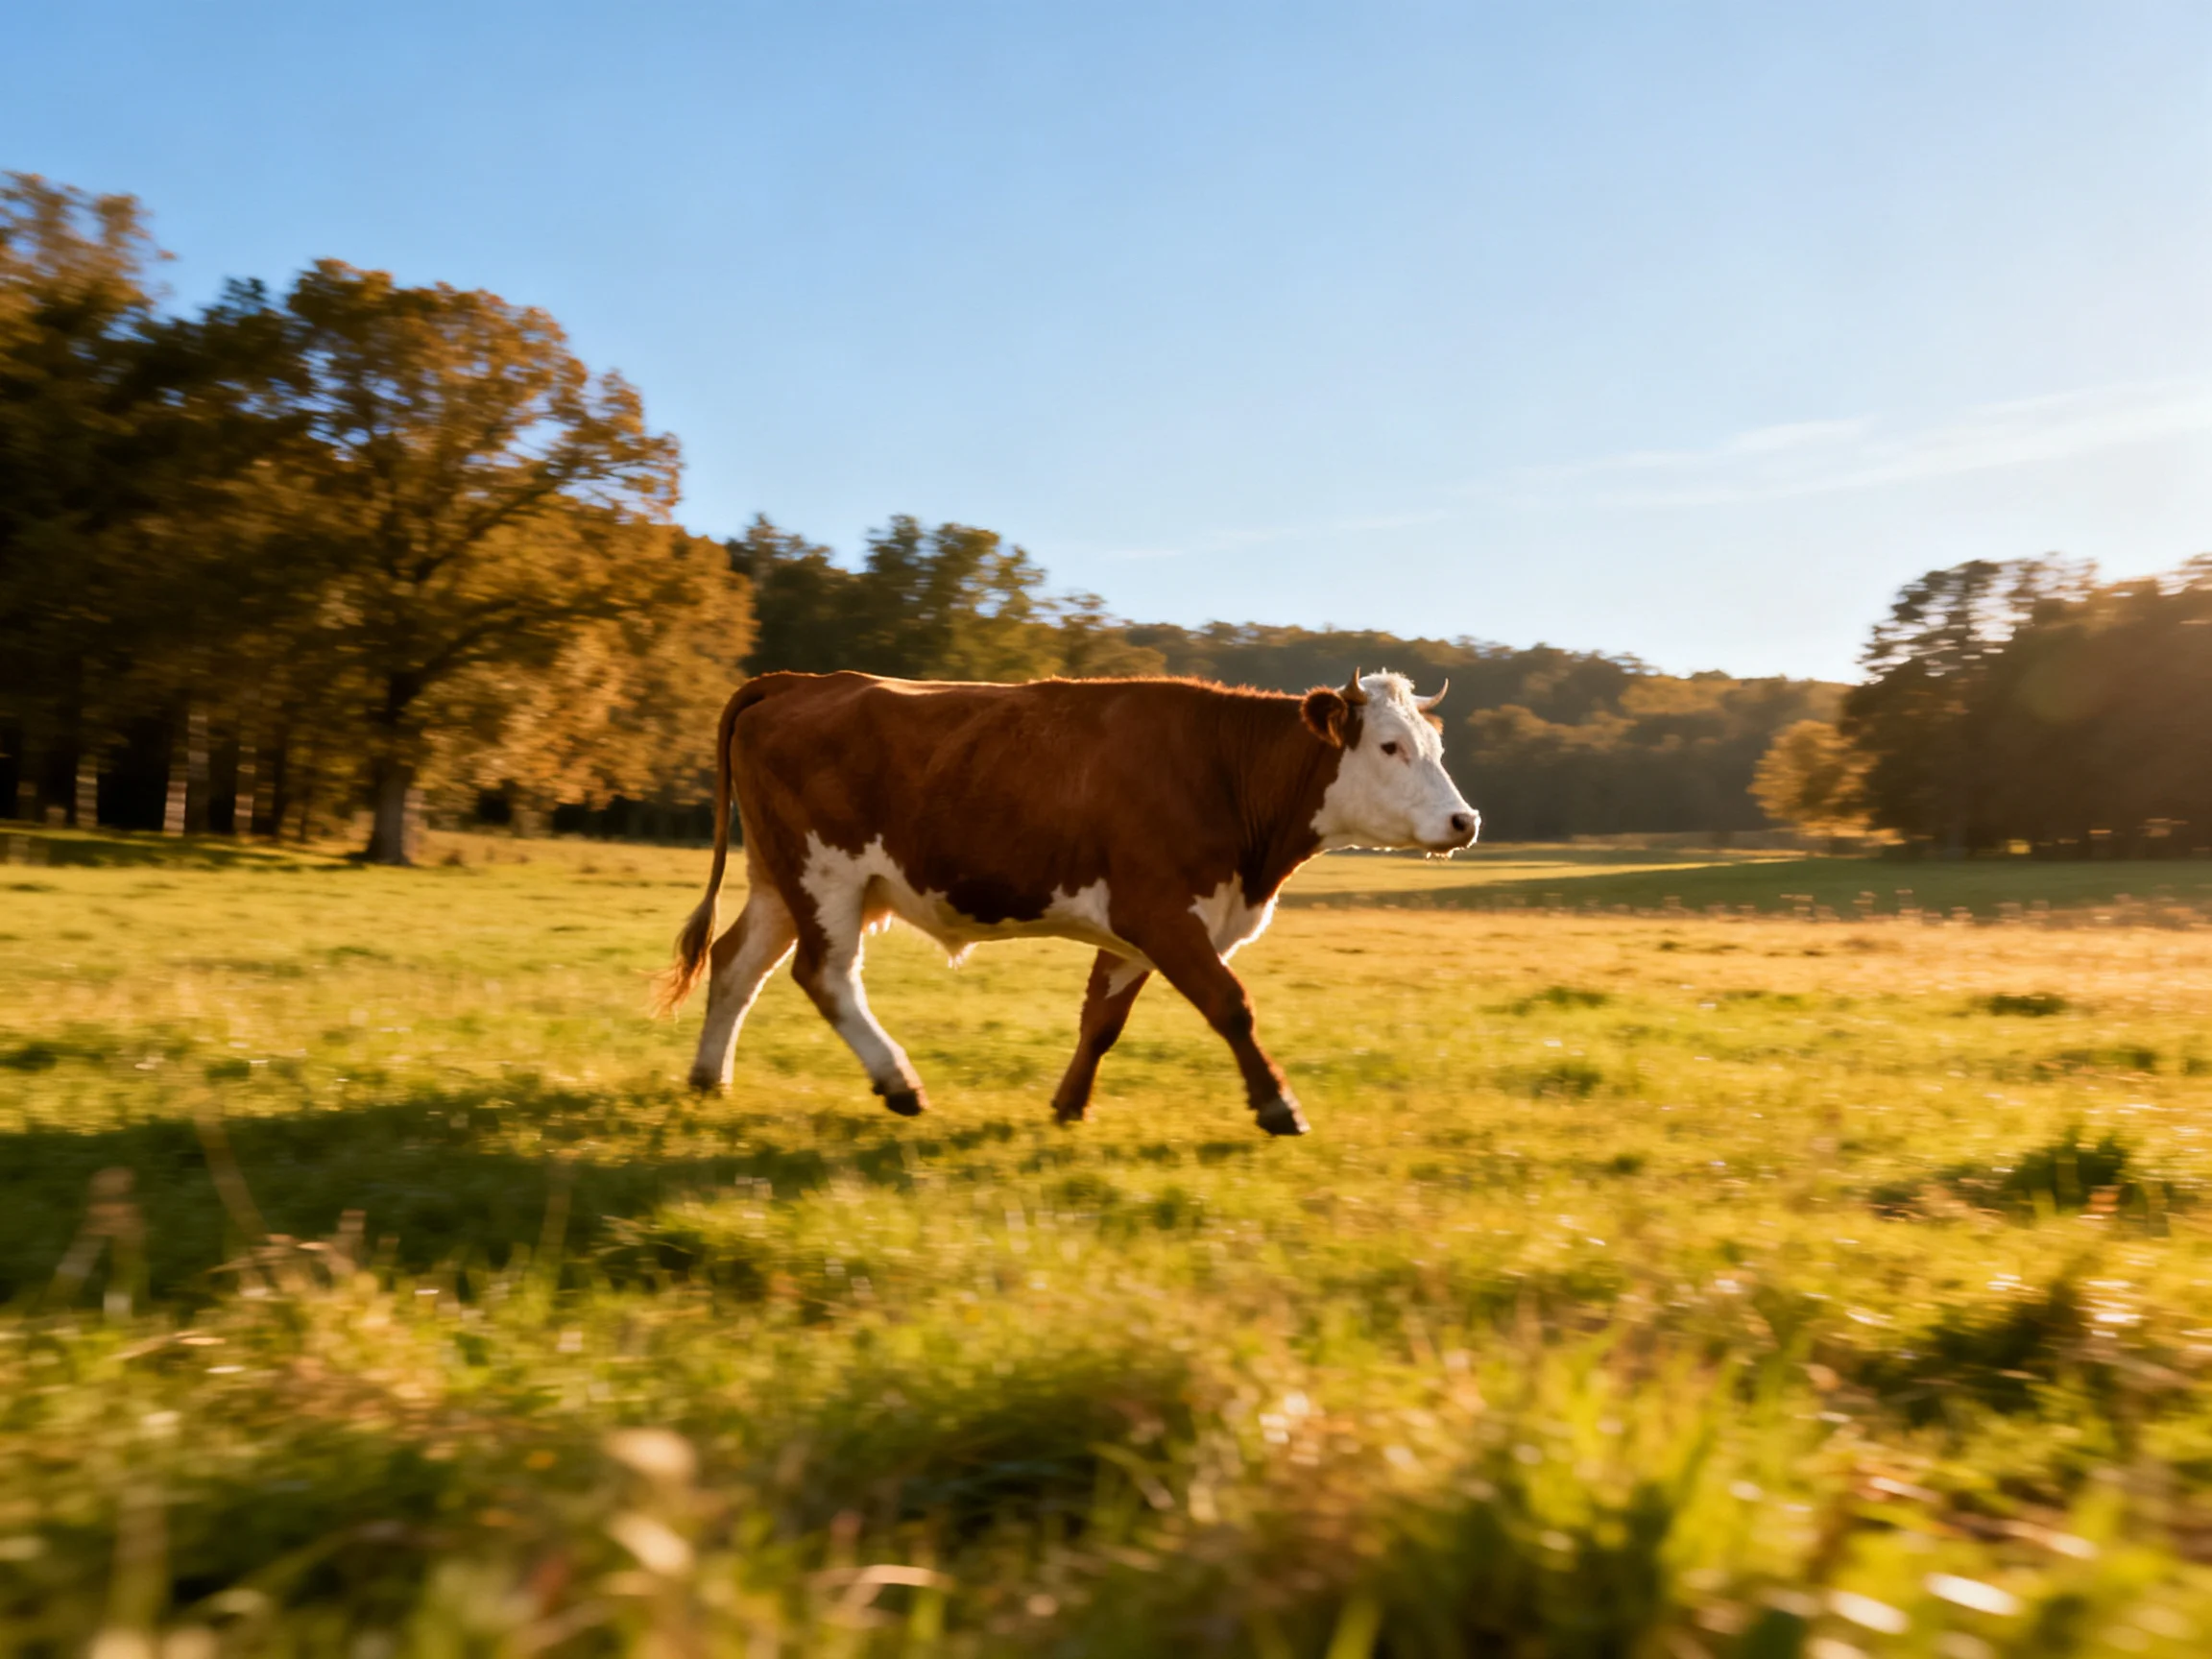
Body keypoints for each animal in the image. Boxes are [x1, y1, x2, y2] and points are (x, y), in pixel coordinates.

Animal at [656, 669, 1479, 1135]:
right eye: (1390, 747)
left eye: (1437, 748)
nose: (1464, 821)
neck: (1220, 770)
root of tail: (799, 679)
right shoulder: (1161, 911)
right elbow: (1230, 1004)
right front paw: (1277, 1105)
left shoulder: (1141, 928)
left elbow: (1102, 1021)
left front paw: (1068, 1106)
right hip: (826, 874)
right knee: (823, 976)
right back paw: (898, 1083)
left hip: (781, 878)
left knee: (735, 964)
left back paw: (707, 1080)